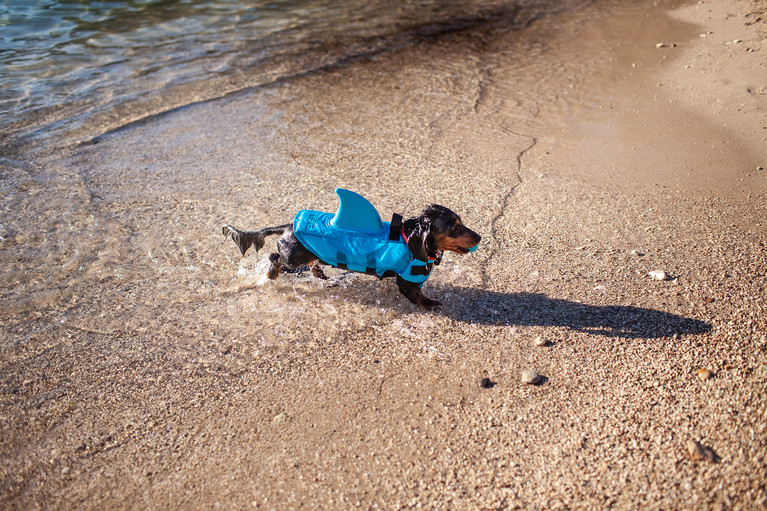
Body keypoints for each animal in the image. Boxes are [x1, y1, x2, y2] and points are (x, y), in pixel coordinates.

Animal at [220, 199, 480, 312]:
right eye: (454, 227)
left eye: (461, 222)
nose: (478, 237)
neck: (410, 240)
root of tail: (287, 227)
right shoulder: (406, 280)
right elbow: (416, 295)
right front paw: (430, 303)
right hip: (293, 258)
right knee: (274, 257)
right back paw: (271, 274)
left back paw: (321, 274)